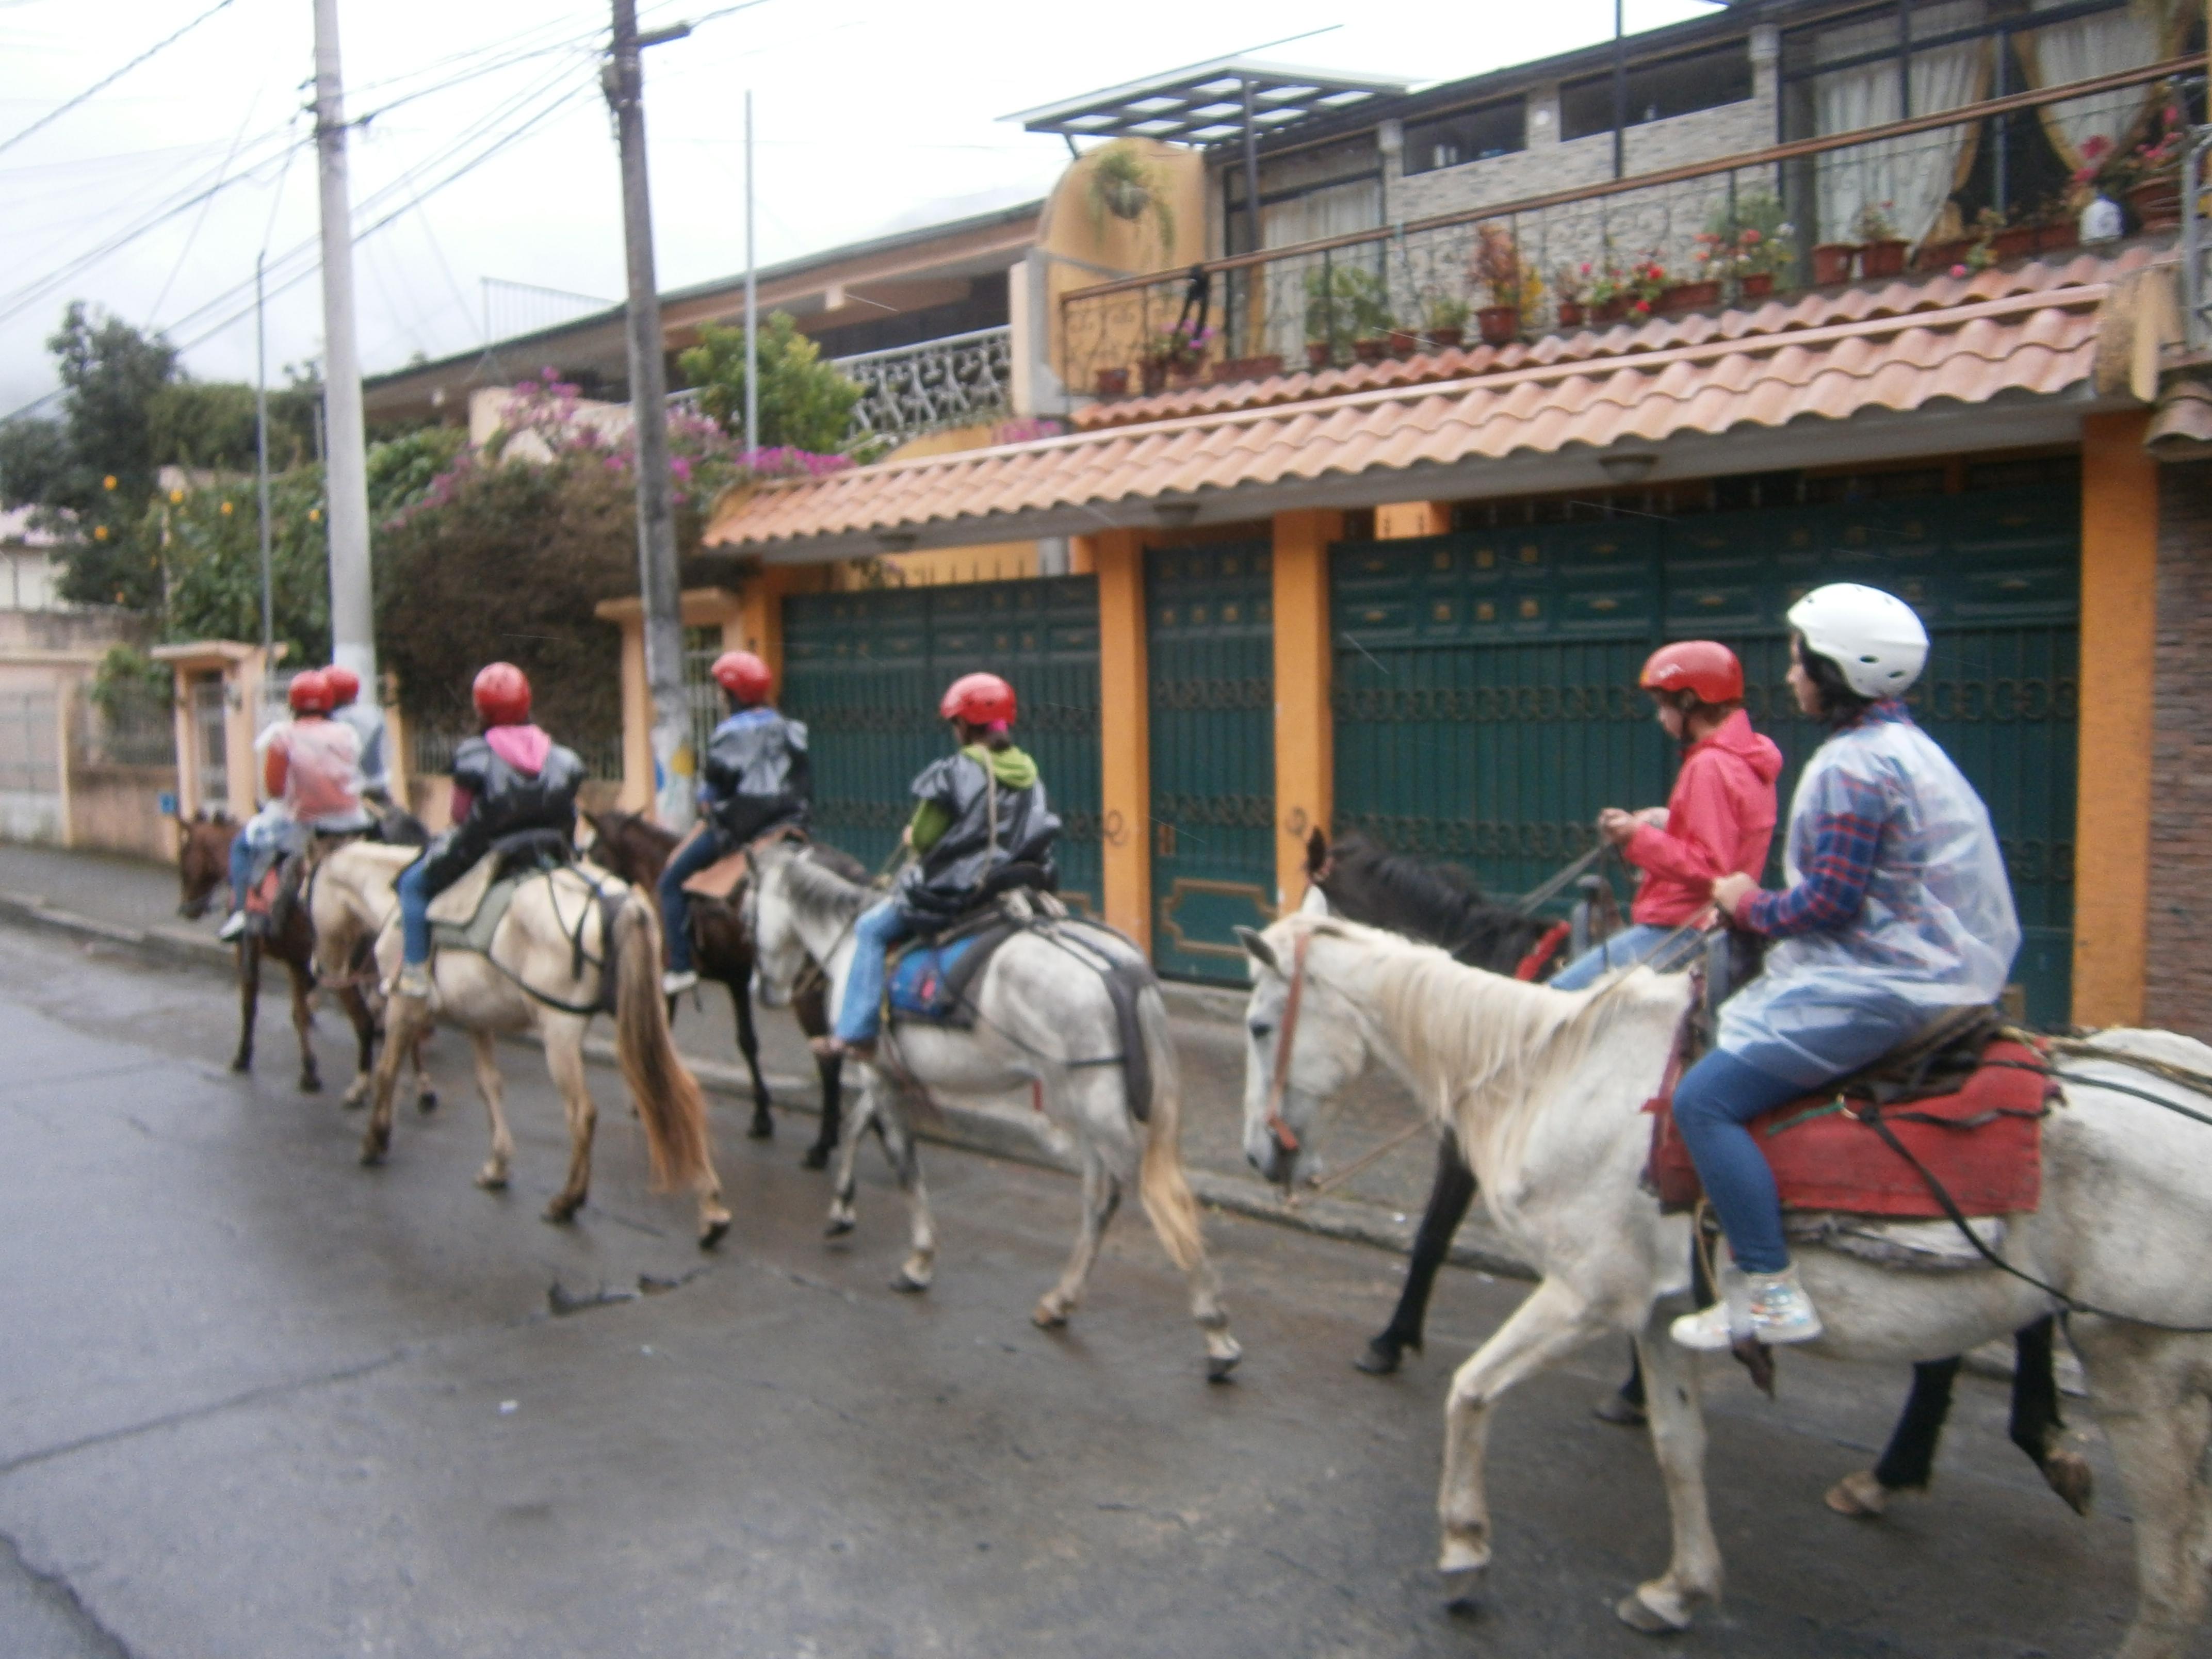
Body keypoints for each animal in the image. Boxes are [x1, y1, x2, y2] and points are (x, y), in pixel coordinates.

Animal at [312, 845, 730, 1247]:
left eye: (308, 895)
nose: (319, 968)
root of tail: (617, 902)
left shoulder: (402, 1006)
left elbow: (387, 1072)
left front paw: (375, 1140)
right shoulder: (477, 1021)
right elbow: (489, 1086)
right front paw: (497, 1165)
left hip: (559, 1032)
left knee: (583, 1113)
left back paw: (567, 1201)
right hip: (642, 1015)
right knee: (677, 1092)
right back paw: (711, 1211)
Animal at [584, 814, 858, 1177]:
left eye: (593, 852)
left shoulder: (666, 977)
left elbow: (658, 1032)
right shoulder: (737, 980)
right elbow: (748, 1043)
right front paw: (762, 1117)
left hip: (807, 991)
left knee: (829, 1060)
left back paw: (822, 1146)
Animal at [752, 836, 1247, 1380]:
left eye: (747, 904)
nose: (762, 990)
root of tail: (1124, 972)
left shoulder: (879, 1074)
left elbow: (904, 1165)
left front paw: (918, 1261)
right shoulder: (886, 1075)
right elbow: (858, 1125)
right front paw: (842, 1208)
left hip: (1094, 1108)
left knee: (1153, 1200)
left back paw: (1215, 1332)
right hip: (1088, 1108)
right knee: (1103, 1199)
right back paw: (1061, 1300)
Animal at [1247, 916, 2212, 1654]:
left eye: (1260, 1026)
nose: (1260, 1158)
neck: (1548, 1073)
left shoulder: (1586, 1295)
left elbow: (1469, 1391)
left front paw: (1461, 1548)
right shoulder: (1658, 1312)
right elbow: (1679, 1447)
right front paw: (1679, 1588)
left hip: (2139, 1364)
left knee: (2171, 1563)